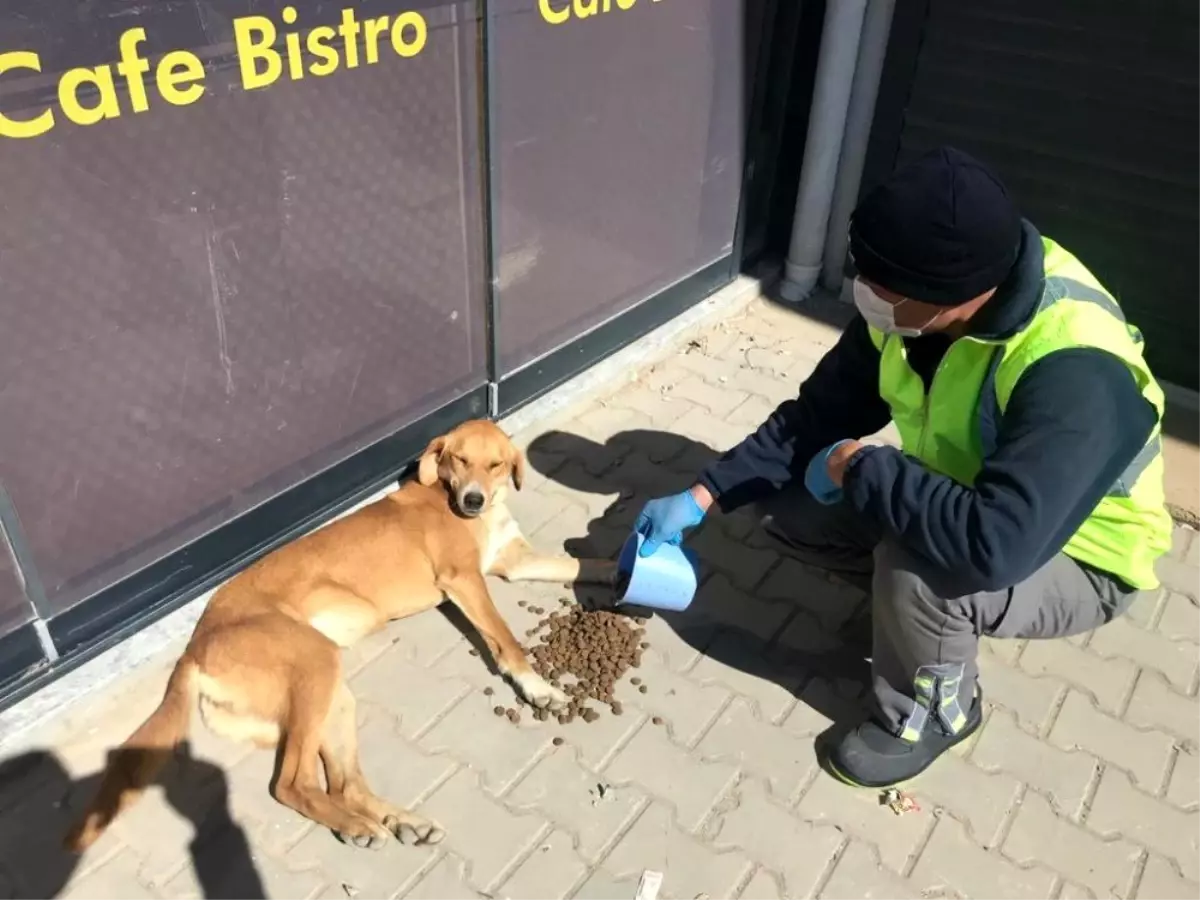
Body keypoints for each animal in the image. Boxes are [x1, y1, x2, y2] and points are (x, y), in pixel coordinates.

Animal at [63, 422, 619, 854]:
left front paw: (623, 568)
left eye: (497, 464)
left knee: (342, 784)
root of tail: (196, 645)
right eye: (459, 459)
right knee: (292, 783)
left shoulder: (515, 562)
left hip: (330, 695)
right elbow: (504, 638)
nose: (473, 499)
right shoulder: (464, 581)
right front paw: (537, 687)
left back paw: (399, 822)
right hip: (315, 666)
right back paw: (358, 827)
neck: (456, 502)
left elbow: (581, 564)